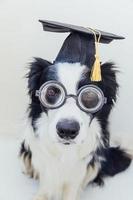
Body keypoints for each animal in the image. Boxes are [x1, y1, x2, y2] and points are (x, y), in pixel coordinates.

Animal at [19, 32, 132, 199]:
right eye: (51, 91)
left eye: (90, 96)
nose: (67, 130)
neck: (65, 151)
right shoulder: (47, 167)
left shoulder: (78, 171)